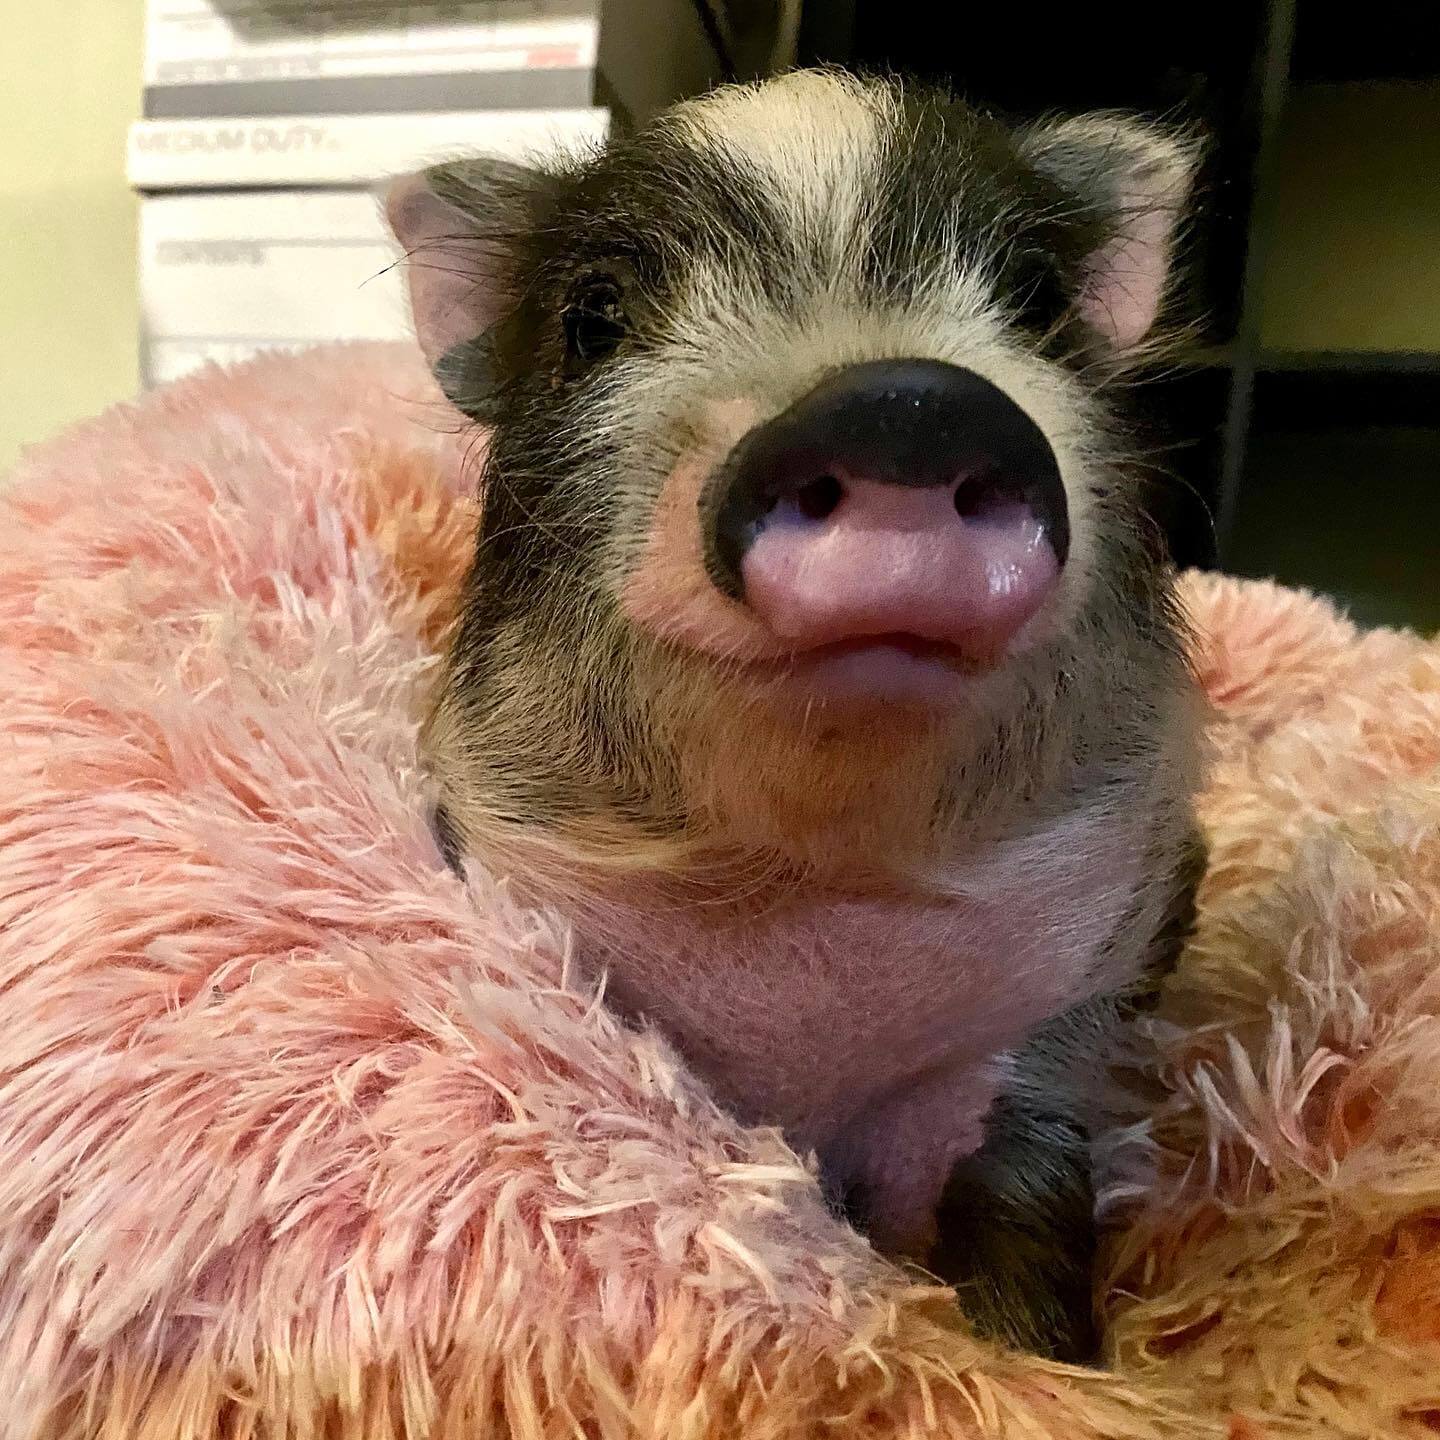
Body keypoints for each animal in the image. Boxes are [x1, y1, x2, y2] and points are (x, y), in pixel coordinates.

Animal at [386, 69, 1206, 1360]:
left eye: (1034, 295)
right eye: (595, 316)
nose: (904, 406)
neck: (823, 877)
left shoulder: (1030, 1055)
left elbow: (1022, 1223)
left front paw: (1047, 1363)